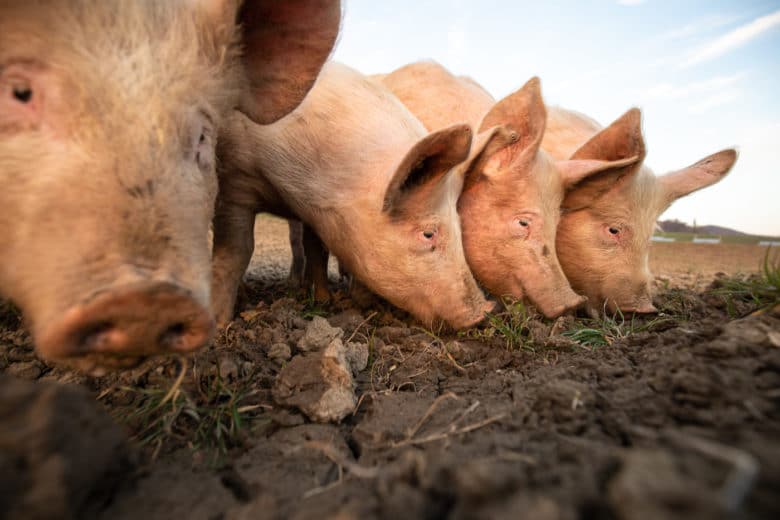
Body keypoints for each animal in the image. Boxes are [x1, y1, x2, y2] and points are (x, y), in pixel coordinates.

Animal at [210, 62, 499, 330]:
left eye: (459, 226)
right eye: (428, 233)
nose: (485, 311)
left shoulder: (316, 209)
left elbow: (317, 248)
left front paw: (324, 300)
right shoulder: (236, 180)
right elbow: (237, 250)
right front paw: (221, 324)